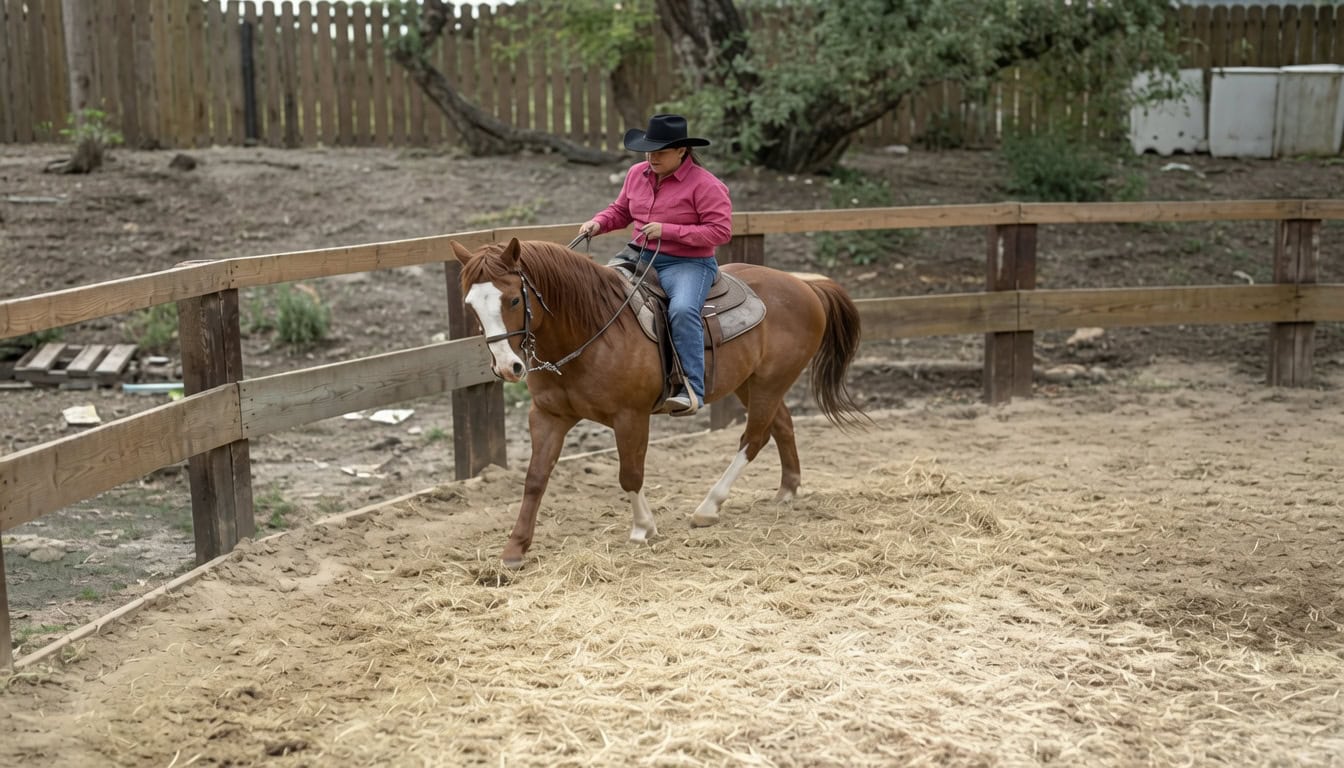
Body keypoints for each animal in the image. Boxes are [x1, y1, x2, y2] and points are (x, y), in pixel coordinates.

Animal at [452, 237, 869, 568]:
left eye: (513, 298)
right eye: (471, 306)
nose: (507, 367)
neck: (590, 330)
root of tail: (804, 286)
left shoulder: (631, 416)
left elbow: (630, 474)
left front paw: (642, 528)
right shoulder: (548, 416)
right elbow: (535, 478)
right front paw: (515, 548)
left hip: (769, 383)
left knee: (754, 438)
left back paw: (708, 508)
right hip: (749, 384)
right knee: (780, 424)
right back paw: (787, 490)